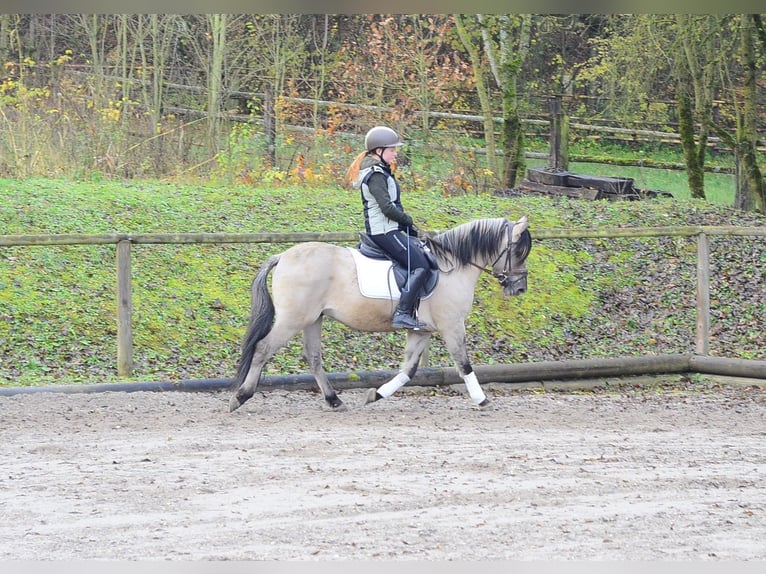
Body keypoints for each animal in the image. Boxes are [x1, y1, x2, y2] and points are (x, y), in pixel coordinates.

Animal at [229, 215, 531, 413]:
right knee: (263, 348)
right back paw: (240, 397)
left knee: (313, 358)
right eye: (518, 251)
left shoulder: (421, 330)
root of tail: (282, 256)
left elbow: (408, 370)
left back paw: (334, 400)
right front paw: (482, 399)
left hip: (313, 319)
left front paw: (375, 394)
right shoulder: (452, 325)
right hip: (293, 319)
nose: (519, 288)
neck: (453, 267)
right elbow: (464, 364)